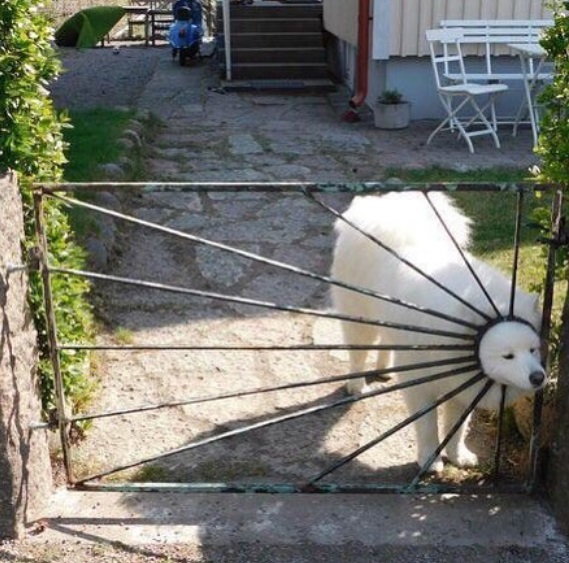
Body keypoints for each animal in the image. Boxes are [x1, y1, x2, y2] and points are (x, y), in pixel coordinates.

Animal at [330, 192, 544, 474]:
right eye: (508, 356)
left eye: (533, 349)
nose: (539, 377)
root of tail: (387, 213)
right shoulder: (422, 384)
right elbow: (428, 426)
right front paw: (430, 460)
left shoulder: (464, 384)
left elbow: (458, 426)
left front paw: (458, 456)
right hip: (359, 315)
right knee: (358, 351)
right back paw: (356, 385)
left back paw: (385, 369)